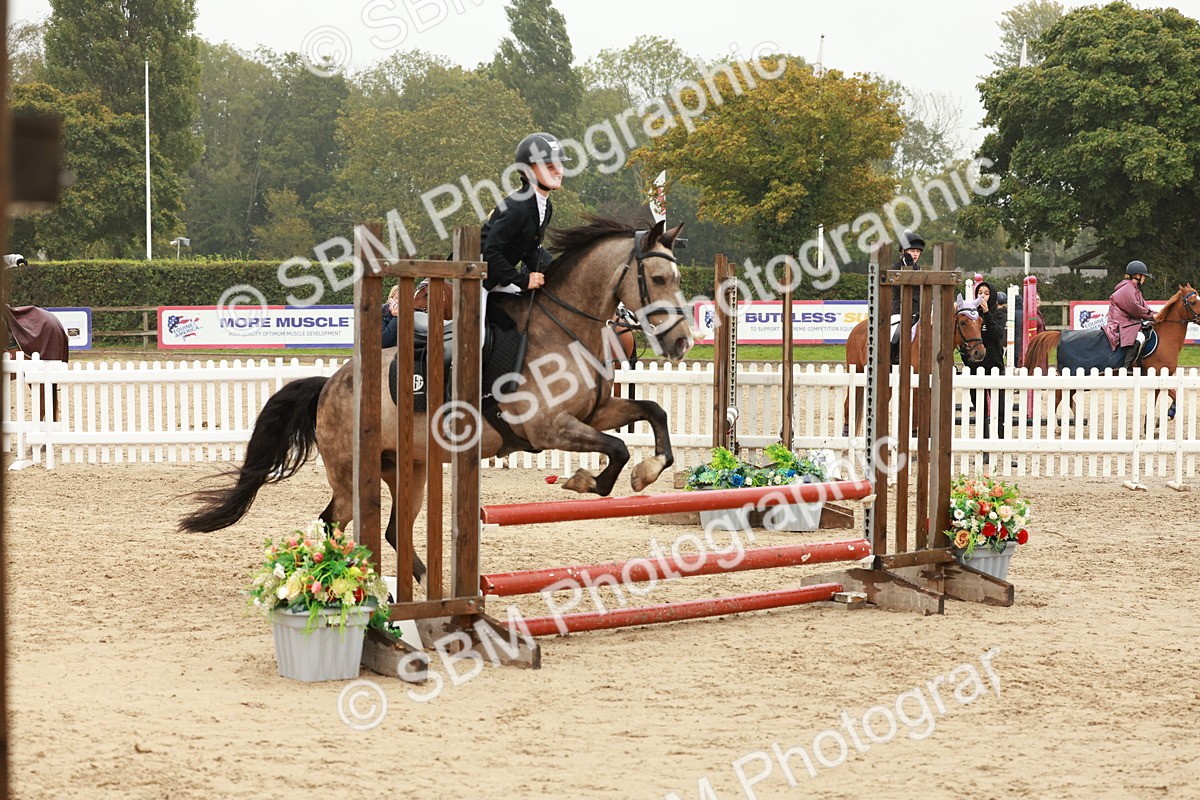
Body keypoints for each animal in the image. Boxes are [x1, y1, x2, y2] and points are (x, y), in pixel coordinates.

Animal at [179, 217, 694, 583]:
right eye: (657, 277)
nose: (682, 343)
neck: (565, 330)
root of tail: (330, 384)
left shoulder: (594, 413)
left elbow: (654, 414)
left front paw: (648, 472)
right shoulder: (548, 428)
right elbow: (617, 450)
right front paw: (586, 481)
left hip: (410, 467)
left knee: (390, 530)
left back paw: (419, 584)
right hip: (352, 472)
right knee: (337, 522)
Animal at [841, 298, 987, 436]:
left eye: (981, 322)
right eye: (963, 323)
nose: (979, 352)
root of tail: (856, 329)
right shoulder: (917, 386)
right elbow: (917, 416)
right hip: (857, 372)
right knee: (848, 405)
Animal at [1024, 282, 1200, 421]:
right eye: (1192, 302)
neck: (1165, 337)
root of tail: (1061, 334)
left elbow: (1174, 396)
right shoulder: (1157, 375)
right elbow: (1174, 395)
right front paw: (1166, 415)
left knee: (1066, 398)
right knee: (1059, 396)